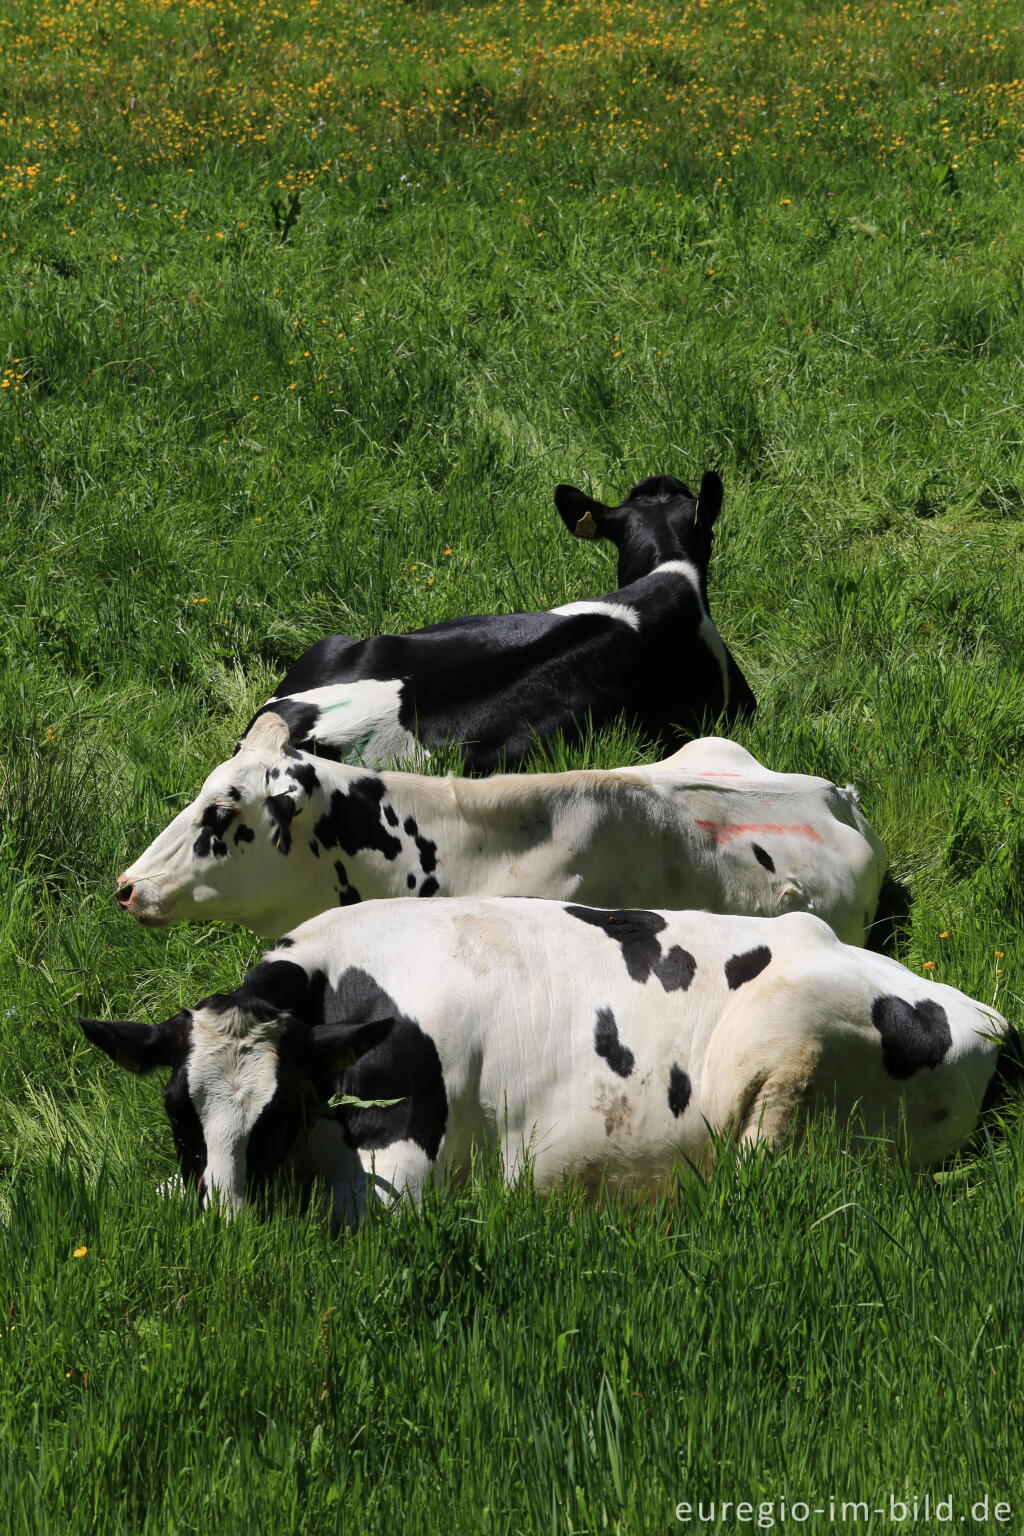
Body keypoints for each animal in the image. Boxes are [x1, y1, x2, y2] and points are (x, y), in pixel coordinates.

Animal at [75, 897, 1013, 1216]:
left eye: (285, 1109)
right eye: (176, 1113)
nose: (226, 1217)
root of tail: (990, 1018)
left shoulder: (402, 1169)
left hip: (784, 1044)